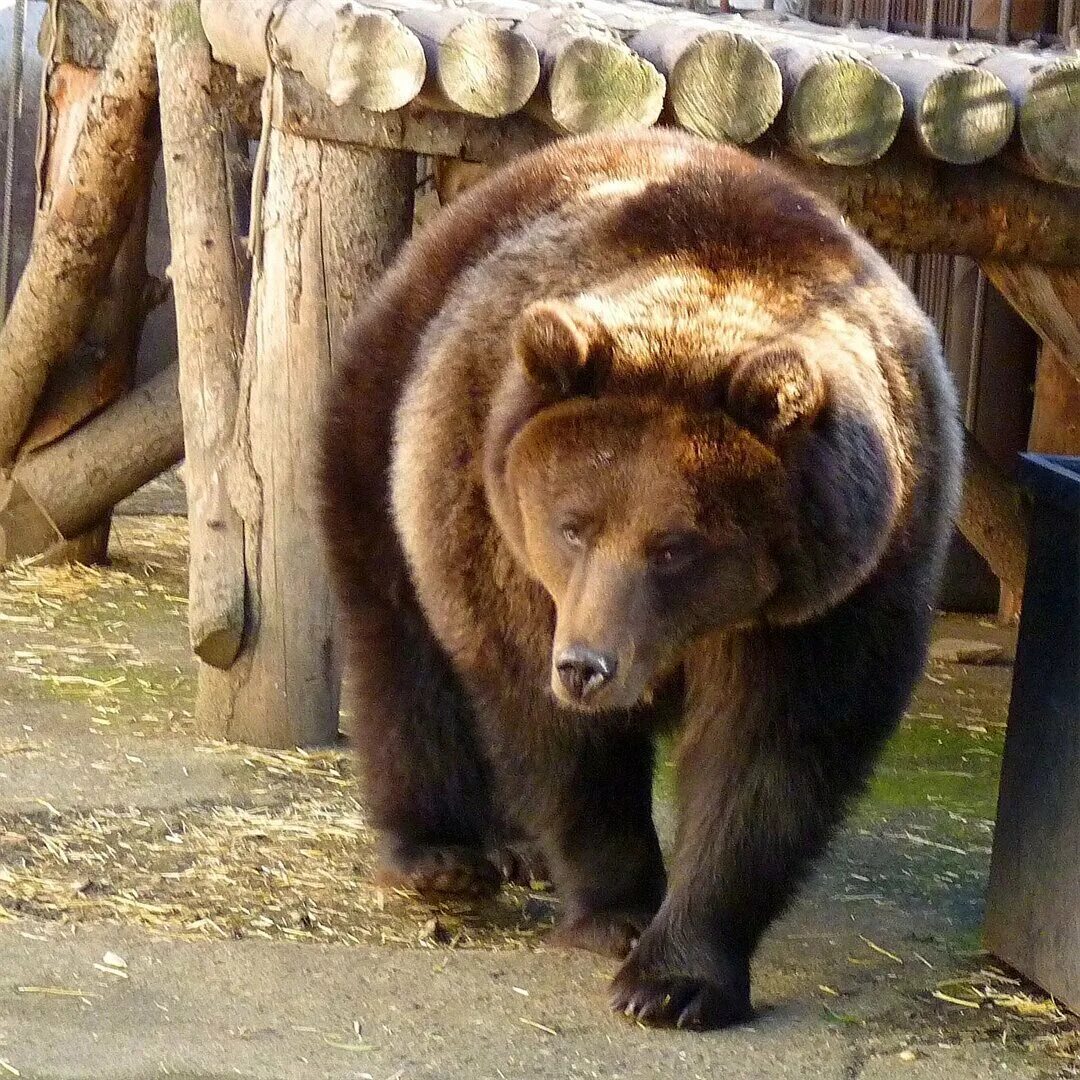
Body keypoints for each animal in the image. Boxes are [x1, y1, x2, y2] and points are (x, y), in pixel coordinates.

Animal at [319, 126, 963, 1028]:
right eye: (573, 525)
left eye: (675, 546)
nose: (586, 666)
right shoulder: (507, 543)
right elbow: (559, 735)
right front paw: (617, 913)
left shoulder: (838, 591)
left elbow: (767, 756)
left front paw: (675, 979)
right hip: (392, 421)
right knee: (401, 640)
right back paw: (441, 853)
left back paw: (517, 848)